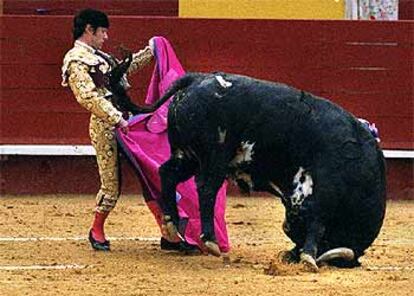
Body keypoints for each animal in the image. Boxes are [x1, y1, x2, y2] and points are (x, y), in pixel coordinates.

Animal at [129, 71, 384, 270]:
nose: (291, 252)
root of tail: (197, 79)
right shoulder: (320, 193)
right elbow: (317, 223)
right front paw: (308, 257)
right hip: (214, 157)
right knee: (206, 187)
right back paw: (210, 241)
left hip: (186, 156)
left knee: (168, 174)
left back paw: (172, 226)